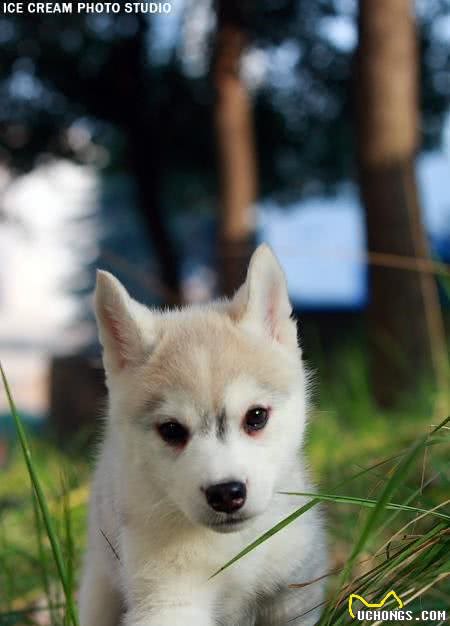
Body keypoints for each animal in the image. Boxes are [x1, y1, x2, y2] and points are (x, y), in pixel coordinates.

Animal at [79, 244, 326, 624]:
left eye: (256, 417)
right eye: (171, 430)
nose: (226, 493)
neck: (238, 546)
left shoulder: (295, 591)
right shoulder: (168, 601)